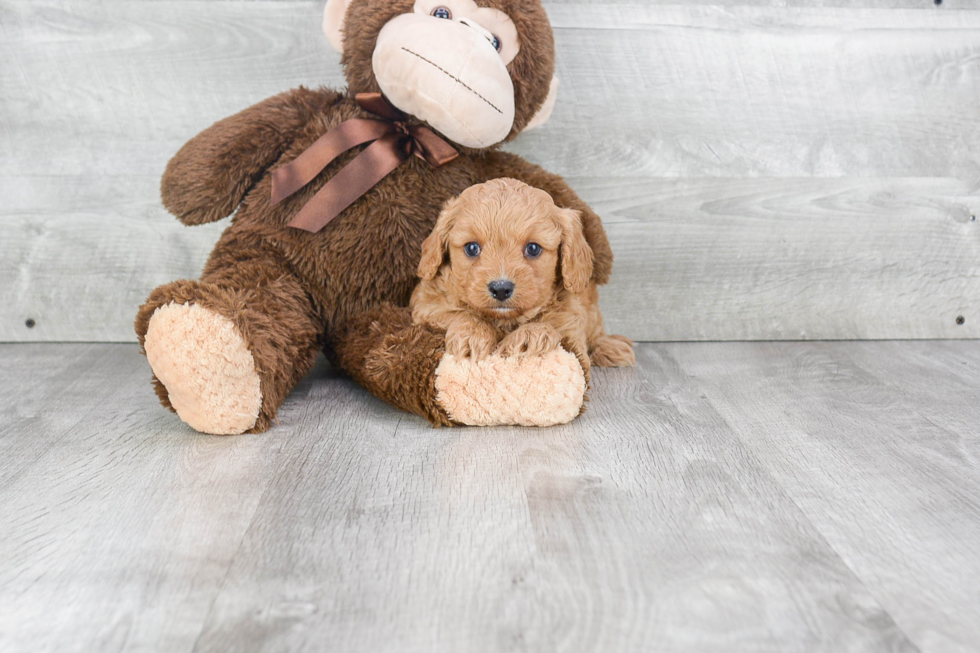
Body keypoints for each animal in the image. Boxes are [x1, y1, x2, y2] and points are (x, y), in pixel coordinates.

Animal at [408, 178, 632, 382]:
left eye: (533, 248)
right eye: (471, 248)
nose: (501, 288)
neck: (505, 320)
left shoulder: (572, 323)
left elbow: (555, 327)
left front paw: (529, 336)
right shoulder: (426, 306)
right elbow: (459, 313)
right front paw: (472, 334)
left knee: (595, 332)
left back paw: (609, 347)